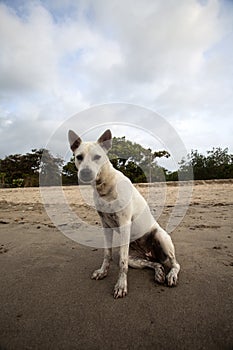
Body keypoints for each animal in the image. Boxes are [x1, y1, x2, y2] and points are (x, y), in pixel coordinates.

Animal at [68, 129, 180, 298]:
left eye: (97, 157)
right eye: (79, 157)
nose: (85, 173)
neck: (105, 186)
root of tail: (150, 253)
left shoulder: (124, 223)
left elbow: (122, 263)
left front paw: (121, 285)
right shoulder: (105, 226)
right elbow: (107, 254)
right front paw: (103, 272)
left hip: (161, 238)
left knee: (175, 264)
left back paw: (171, 274)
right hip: (135, 259)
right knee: (154, 263)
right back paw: (159, 272)